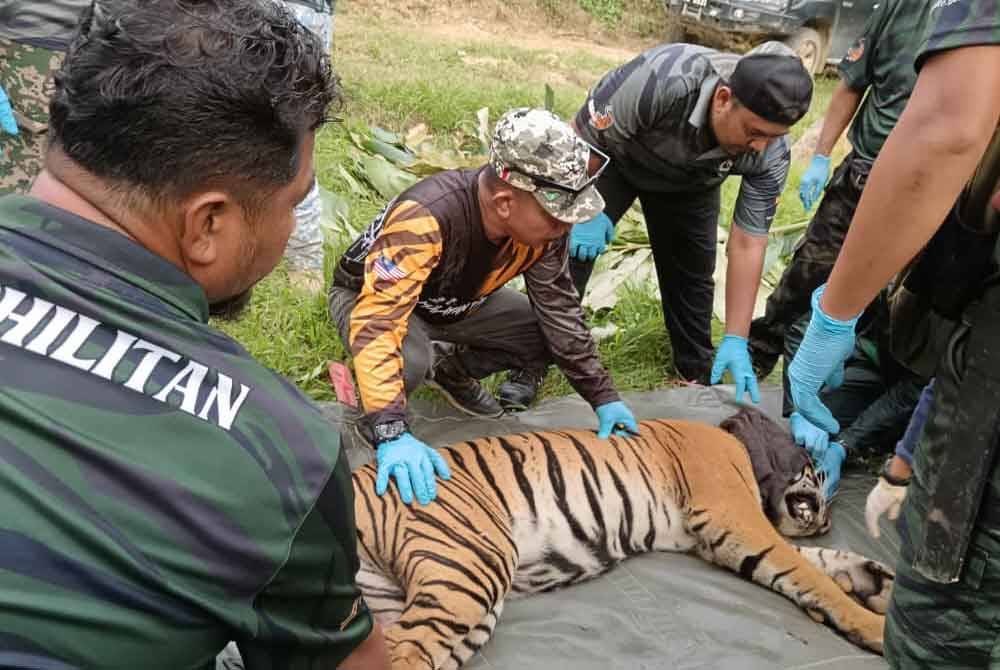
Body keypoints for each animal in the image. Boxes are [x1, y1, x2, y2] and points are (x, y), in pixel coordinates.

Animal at [350, 410, 892, 670]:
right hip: (471, 569)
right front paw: (878, 628)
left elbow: (819, 562)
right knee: (404, 652)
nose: (828, 516)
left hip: (430, 604)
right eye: (817, 471)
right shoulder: (732, 515)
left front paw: (877, 579)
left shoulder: (714, 537)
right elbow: (809, 574)